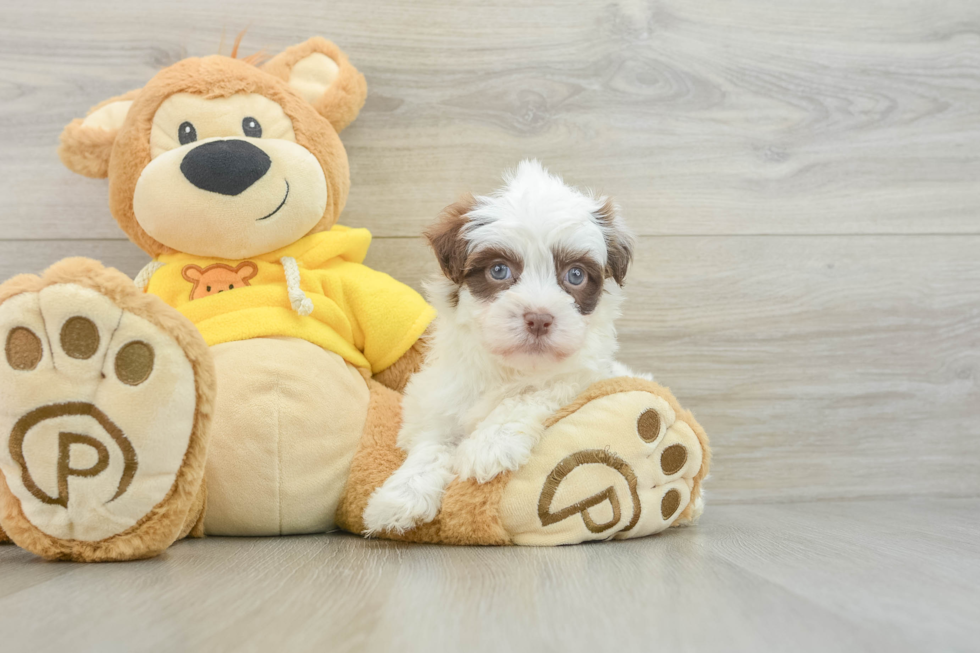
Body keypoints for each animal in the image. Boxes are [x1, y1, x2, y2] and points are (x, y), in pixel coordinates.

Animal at [364, 160, 648, 532]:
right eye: (499, 270)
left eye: (575, 275)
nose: (539, 319)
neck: (510, 367)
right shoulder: (438, 400)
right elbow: (431, 444)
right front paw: (401, 496)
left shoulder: (582, 377)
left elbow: (531, 394)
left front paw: (487, 446)